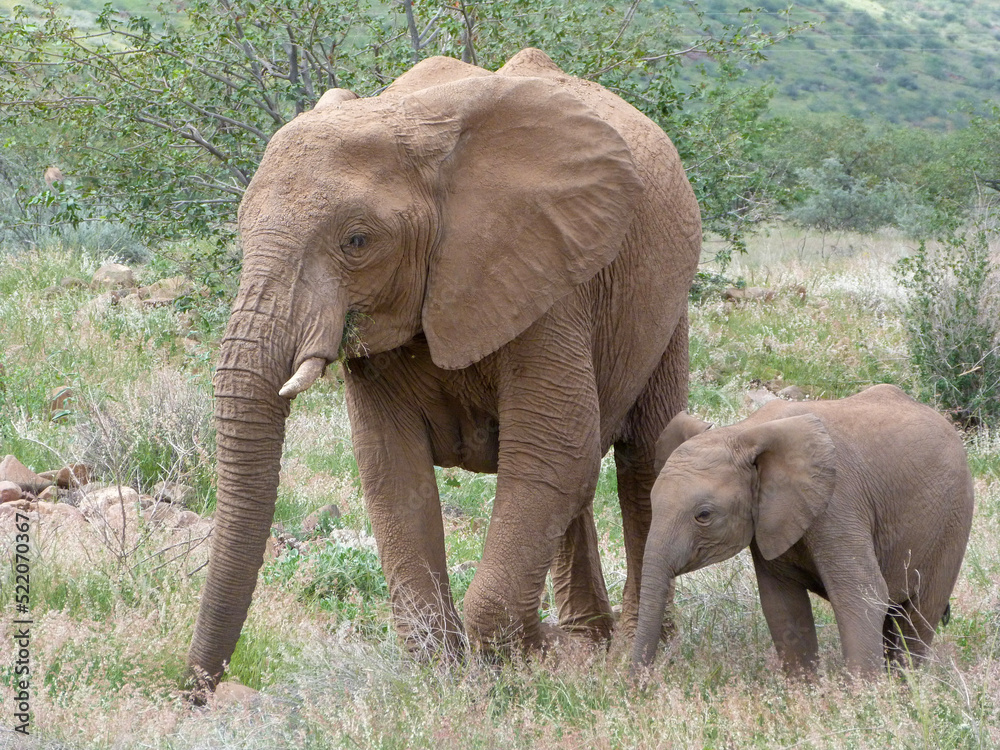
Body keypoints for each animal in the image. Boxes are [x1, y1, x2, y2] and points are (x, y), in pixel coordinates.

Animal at [187, 47, 702, 687]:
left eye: (357, 241)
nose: (195, 691)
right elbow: (391, 468)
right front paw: (444, 670)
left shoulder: (546, 277)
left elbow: (552, 451)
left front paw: (533, 655)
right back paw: (590, 637)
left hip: (664, 301)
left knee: (644, 455)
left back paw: (636, 652)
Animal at [632, 384, 974, 680]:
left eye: (703, 515)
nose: (636, 688)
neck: (744, 432)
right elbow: (782, 605)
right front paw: (804, 695)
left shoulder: (838, 503)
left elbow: (863, 595)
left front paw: (862, 702)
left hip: (953, 519)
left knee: (918, 616)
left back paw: (904, 690)